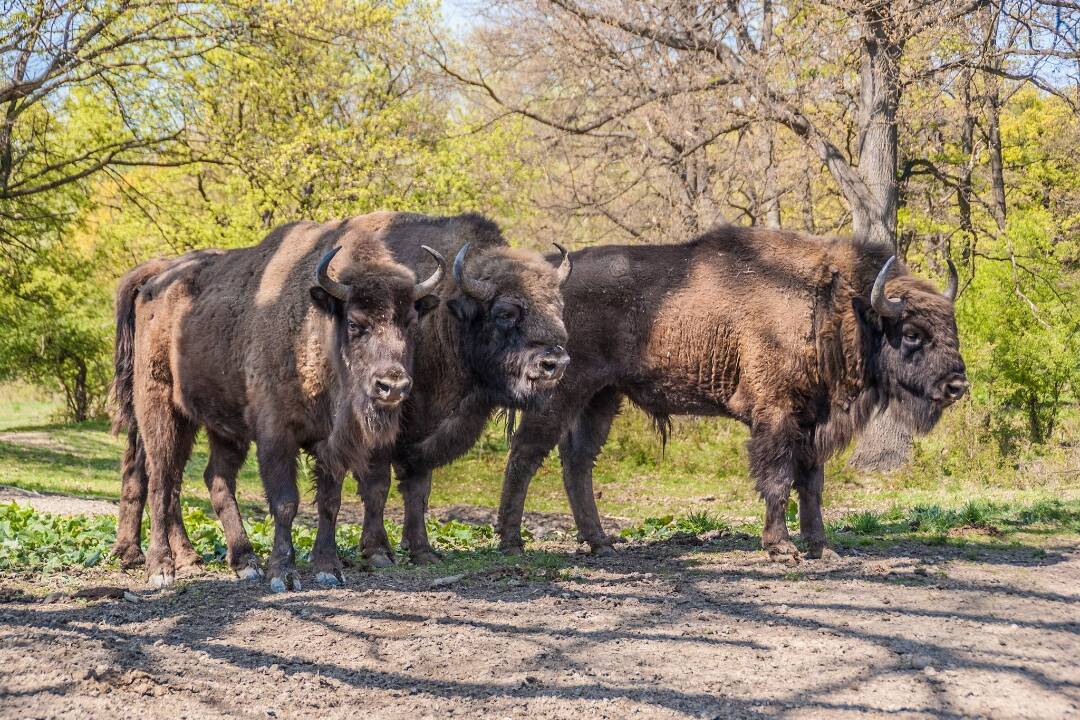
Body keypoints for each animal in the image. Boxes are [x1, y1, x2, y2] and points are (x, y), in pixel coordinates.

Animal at [108, 213, 442, 591]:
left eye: (410, 323)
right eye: (355, 323)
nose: (393, 385)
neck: (314, 327)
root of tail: (155, 280)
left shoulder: (330, 444)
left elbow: (330, 502)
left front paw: (328, 568)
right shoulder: (276, 436)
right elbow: (285, 502)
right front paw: (283, 573)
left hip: (222, 427)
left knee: (215, 480)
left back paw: (244, 561)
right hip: (161, 410)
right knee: (162, 480)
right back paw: (162, 568)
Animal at [354, 213, 574, 569]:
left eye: (558, 307)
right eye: (505, 313)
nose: (555, 363)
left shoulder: (428, 435)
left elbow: (418, 487)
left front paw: (422, 551)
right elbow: (377, 484)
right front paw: (376, 552)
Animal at [494, 226, 967, 561]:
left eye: (952, 327)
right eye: (912, 333)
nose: (957, 384)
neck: (833, 305)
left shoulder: (812, 420)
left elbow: (811, 485)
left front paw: (822, 547)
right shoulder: (776, 416)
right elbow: (777, 478)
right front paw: (782, 548)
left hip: (602, 397)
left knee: (577, 461)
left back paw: (601, 543)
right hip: (562, 391)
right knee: (526, 454)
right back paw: (512, 543)